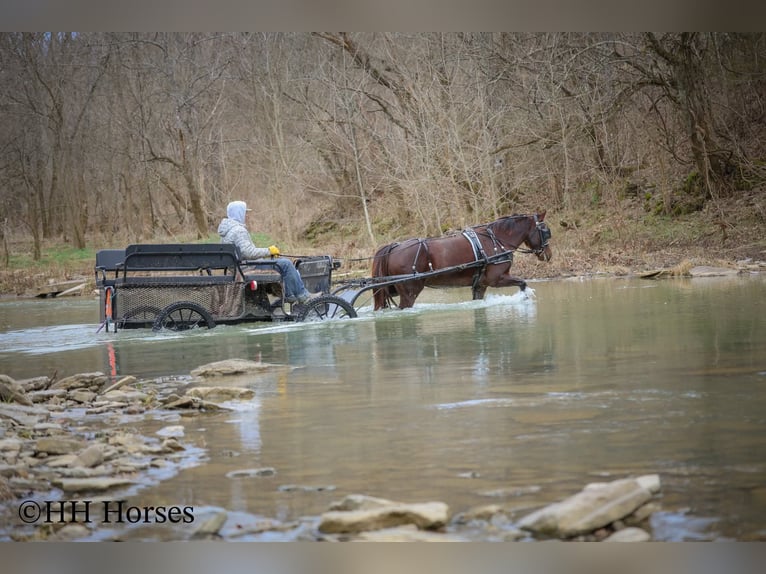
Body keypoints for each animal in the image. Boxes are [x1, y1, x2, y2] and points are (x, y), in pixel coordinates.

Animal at [371, 212, 552, 310]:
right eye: (546, 231)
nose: (548, 254)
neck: (496, 240)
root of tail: (394, 247)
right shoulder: (497, 279)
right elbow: (522, 283)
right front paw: (525, 298)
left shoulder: (480, 285)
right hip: (410, 292)